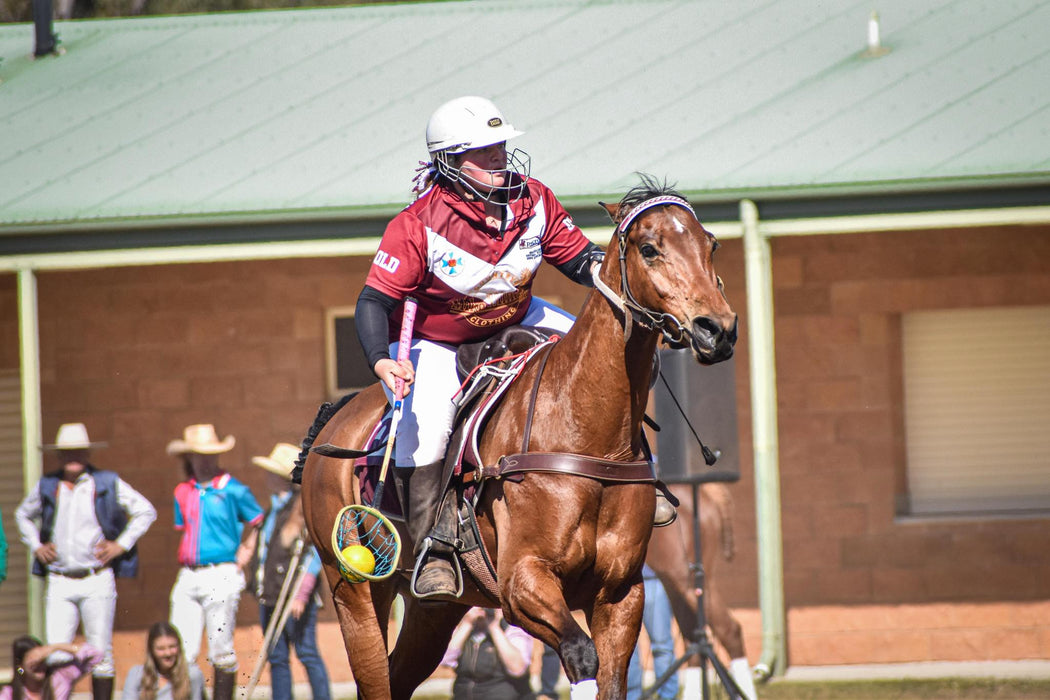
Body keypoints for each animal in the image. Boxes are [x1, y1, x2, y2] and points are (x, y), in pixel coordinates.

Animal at [300, 179, 734, 700]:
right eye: (649, 249)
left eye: (710, 244)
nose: (718, 330)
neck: (586, 431)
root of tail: (335, 418)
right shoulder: (522, 581)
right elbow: (581, 655)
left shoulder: (622, 592)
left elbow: (609, 677)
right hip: (355, 590)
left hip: (436, 609)